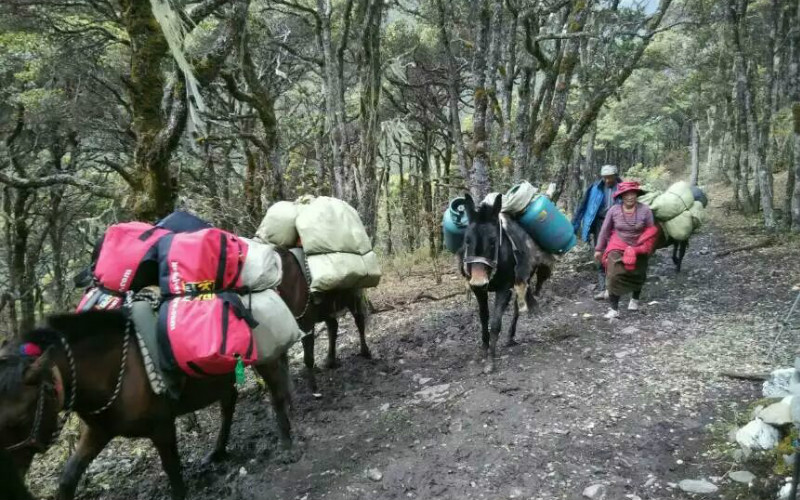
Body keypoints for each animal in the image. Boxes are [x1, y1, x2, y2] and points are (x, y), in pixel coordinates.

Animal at [0, 312, 294, 500]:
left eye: (21, 418)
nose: (12, 485)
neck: (114, 371)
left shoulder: (161, 426)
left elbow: (173, 473)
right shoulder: (98, 431)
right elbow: (68, 478)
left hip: (263, 357)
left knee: (277, 391)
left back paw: (287, 444)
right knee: (229, 402)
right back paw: (217, 452)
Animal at [274, 248, 370, 392]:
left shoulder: (306, 323)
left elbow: (308, 357)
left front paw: (313, 386)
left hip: (353, 296)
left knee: (359, 321)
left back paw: (365, 351)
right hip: (327, 308)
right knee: (333, 326)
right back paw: (330, 360)